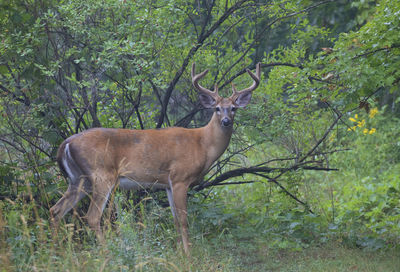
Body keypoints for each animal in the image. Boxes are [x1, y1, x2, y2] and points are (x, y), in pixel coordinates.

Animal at [50, 62, 260, 254]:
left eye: (233, 108)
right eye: (216, 108)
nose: (226, 121)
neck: (202, 144)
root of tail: (66, 143)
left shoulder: (167, 184)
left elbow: (175, 219)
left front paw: (179, 252)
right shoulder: (180, 178)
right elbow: (183, 219)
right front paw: (188, 254)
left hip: (79, 179)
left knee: (56, 210)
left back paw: (55, 252)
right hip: (101, 175)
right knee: (92, 217)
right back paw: (106, 254)